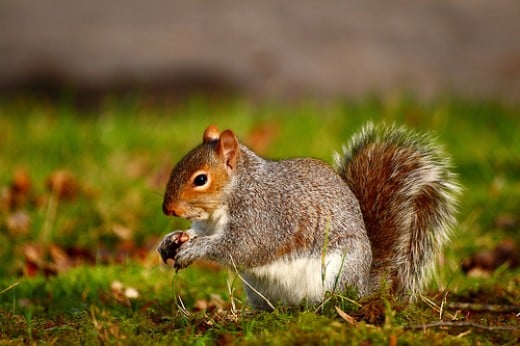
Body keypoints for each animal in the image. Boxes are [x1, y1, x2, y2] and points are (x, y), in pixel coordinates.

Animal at [157, 123, 460, 310]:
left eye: (201, 179)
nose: (167, 209)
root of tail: (364, 286)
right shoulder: (207, 223)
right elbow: (198, 233)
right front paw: (171, 240)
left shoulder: (264, 217)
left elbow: (243, 247)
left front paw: (195, 249)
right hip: (257, 288)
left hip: (335, 274)